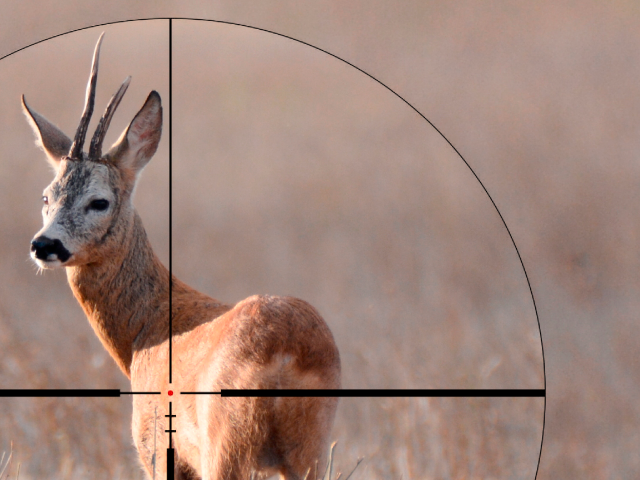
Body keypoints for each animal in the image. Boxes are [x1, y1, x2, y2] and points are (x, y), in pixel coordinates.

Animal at [23, 33, 340, 480]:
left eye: (99, 201)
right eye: (46, 197)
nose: (44, 245)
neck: (147, 330)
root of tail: (287, 350)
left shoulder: (158, 445)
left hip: (225, 445)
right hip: (310, 449)